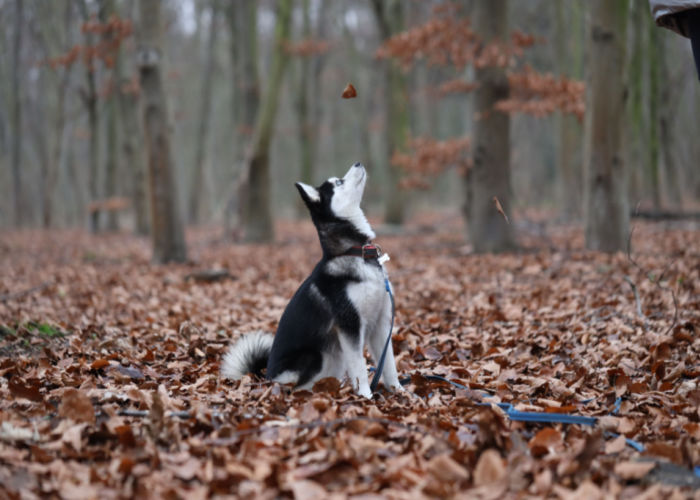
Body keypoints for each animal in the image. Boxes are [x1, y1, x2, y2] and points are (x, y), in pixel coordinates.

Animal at [221, 164, 402, 398]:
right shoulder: (349, 325)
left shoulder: (381, 323)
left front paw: (399, 391)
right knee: (299, 387)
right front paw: (365, 395)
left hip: (335, 357)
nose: (358, 163)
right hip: (316, 356)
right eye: (338, 182)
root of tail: (265, 377)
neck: (354, 252)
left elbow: (388, 363)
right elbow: (360, 366)